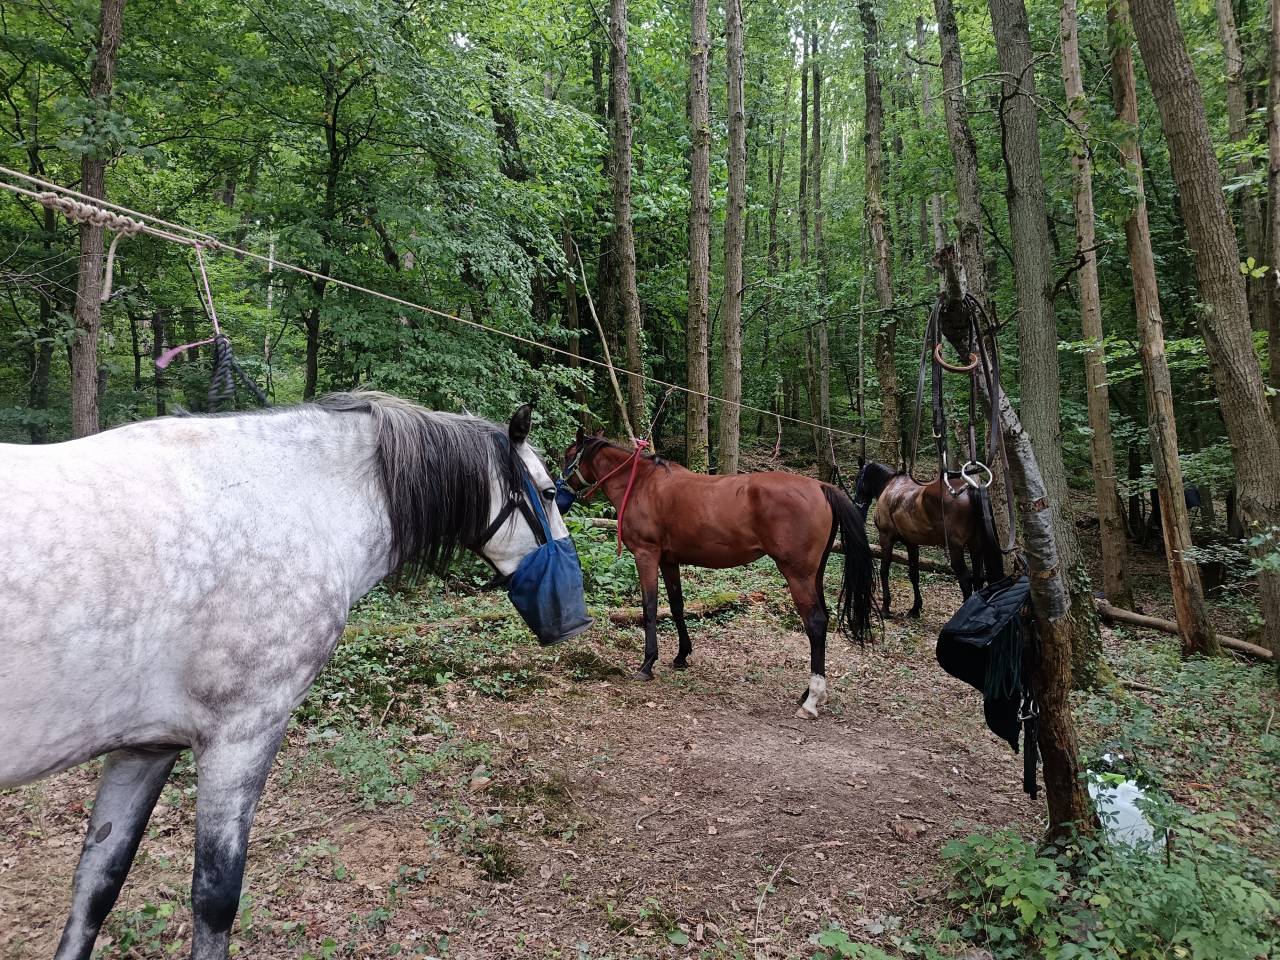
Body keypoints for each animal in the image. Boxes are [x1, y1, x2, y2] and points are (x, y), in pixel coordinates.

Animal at [0, 391, 588, 960]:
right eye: (545, 492)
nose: (575, 618)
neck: (297, 503)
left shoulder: (145, 747)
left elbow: (96, 885)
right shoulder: (241, 735)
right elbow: (215, 898)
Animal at [561, 429, 874, 720]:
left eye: (568, 455)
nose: (560, 492)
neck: (641, 484)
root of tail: (820, 486)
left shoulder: (646, 555)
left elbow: (650, 608)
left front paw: (647, 664)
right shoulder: (669, 561)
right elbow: (676, 606)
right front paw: (681, 655)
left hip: (797, 575)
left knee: (816, 622)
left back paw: (811, 700)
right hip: (814, 574)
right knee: (823, 619)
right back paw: (807, 692)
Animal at [853, 460, 1002, 618]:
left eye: (858, 479)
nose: (858, 506)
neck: (890, 486)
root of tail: (970, 489)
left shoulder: (886, 537)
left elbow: (884, 570)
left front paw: (885, 608)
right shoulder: (911, 543)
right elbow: (914, 574)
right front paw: (915, 608)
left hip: (956, 548)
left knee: (965, 579)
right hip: (976, 546)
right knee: (978, 577)